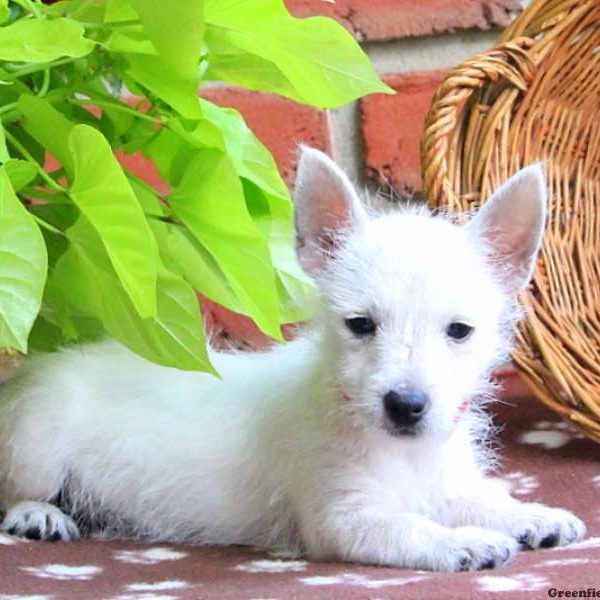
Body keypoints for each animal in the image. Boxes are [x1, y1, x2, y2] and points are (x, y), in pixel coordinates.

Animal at [0, 148, 584, 568]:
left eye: (459, 331)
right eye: (360, 325)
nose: (406, 404)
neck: (401, 454)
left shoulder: (444, 482)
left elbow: (480, 497)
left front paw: (532, 515)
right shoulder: (344, 518)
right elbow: (408, 526)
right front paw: (463, 542)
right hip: (36, 446)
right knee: (11, 492)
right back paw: (37, 516)